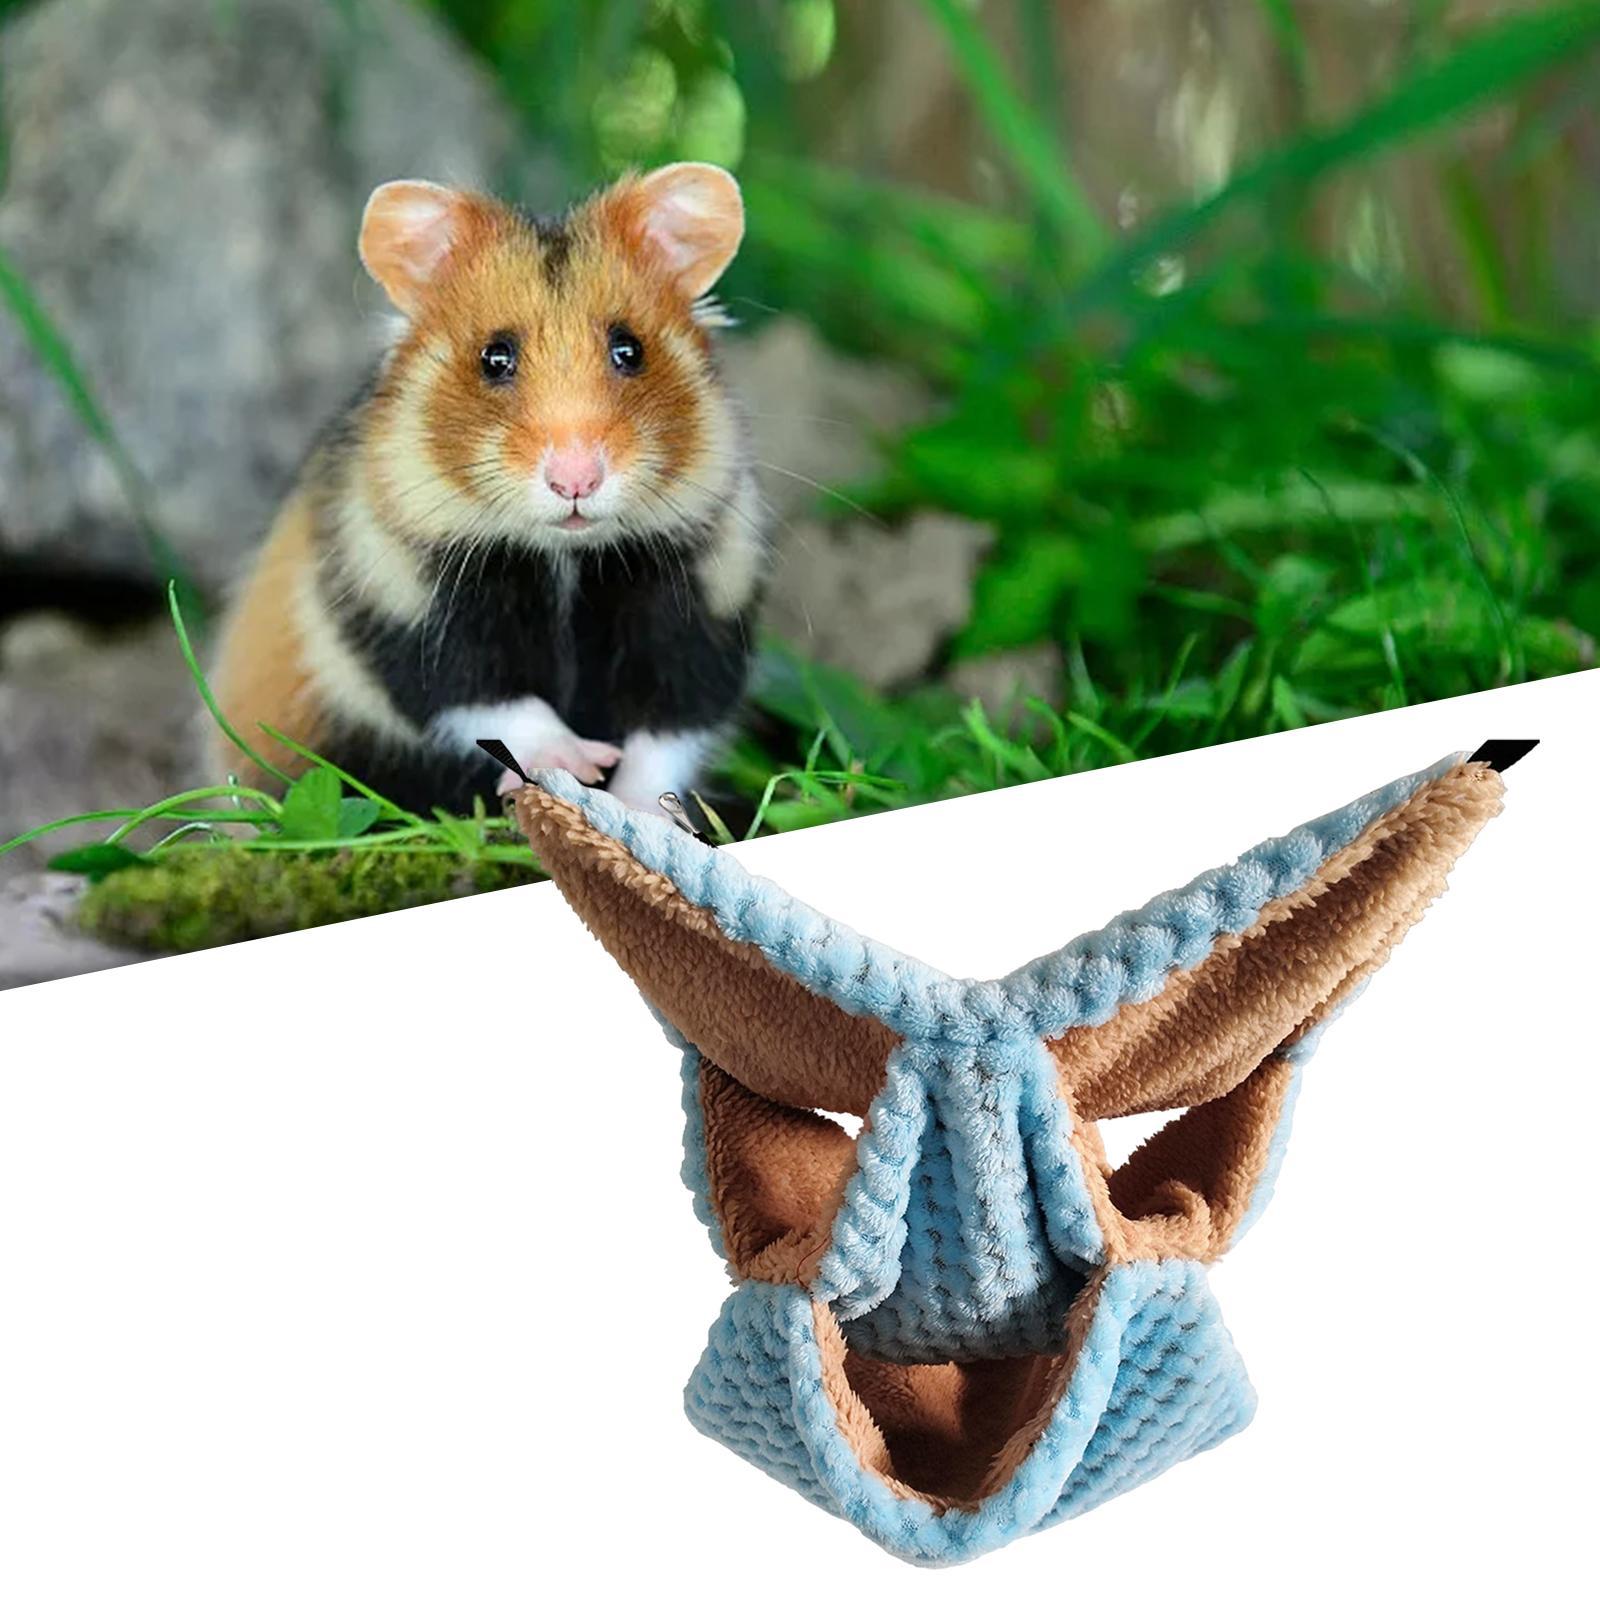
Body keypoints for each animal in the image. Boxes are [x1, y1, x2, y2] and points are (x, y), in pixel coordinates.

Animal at [209, 162, 765, 817]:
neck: (563, 554)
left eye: (630, 349)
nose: (575, 479)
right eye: (494, 357)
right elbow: (491, 700)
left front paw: (633, 808)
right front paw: (575, 766)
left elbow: (667, 733)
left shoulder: (702, 602)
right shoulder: (403, 604)